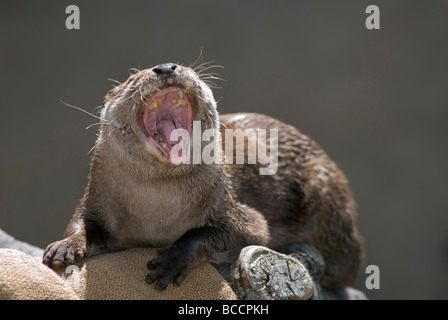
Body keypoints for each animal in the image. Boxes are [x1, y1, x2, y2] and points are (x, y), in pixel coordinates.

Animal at [42, 62, 364, 290]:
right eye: (133, 78)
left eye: (183, 65)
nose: (166, 67)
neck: (156, 216)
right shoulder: (96, 198)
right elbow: (81, 223)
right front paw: (66, 247)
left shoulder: (236, 211)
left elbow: (231, 232)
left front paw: (174, 259)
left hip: (326, 194)